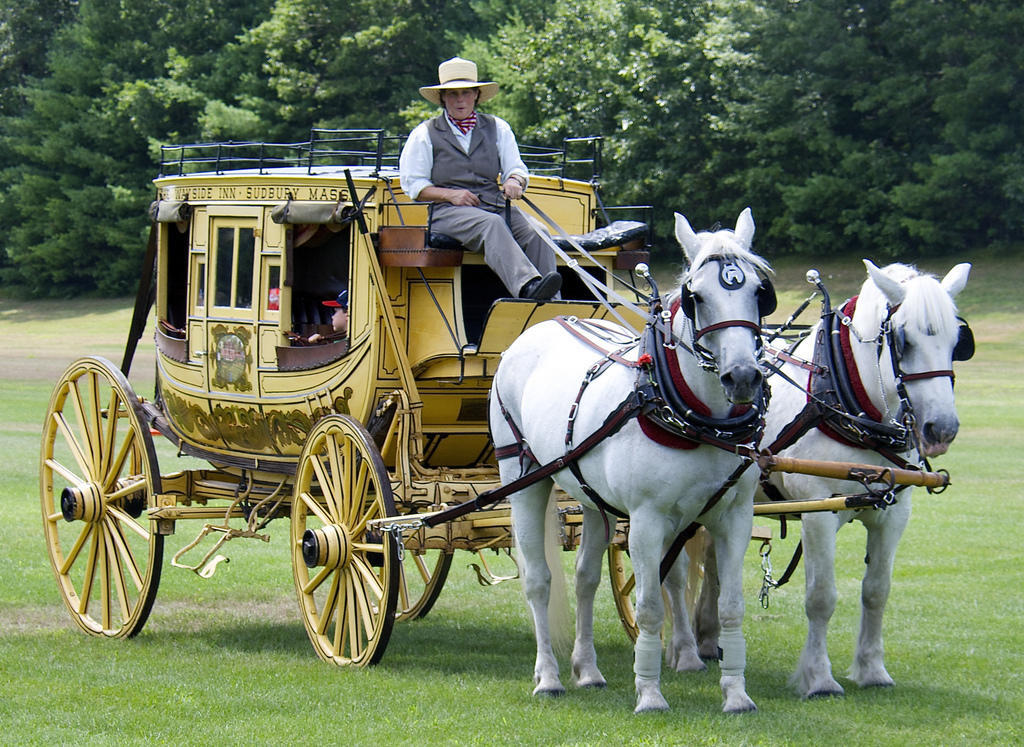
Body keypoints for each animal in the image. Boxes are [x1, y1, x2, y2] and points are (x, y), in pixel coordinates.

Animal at [489, 208, 775, 713]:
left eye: (759, 292)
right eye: (696, 297)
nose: (741, 377)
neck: (695, 419)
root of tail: (541, 324)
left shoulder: (733, 516)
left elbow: (729, 605)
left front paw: (736, 693)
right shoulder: (646, 518)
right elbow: (649, 605)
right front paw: (650, 693)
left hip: (590, 497)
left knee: (585, 579)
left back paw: (587, 669)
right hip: (523, 478)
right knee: (539, 581)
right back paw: (549, 676)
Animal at [690, 258, 972, 698]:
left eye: (958, 341)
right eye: (903, 340)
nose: (941, 428)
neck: (854, 404)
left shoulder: (894, 513)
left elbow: (876, 591)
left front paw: (872, 669)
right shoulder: (819, 510)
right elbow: (821, 596)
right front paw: (819, 678)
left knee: (713, 559)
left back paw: (707, 637)